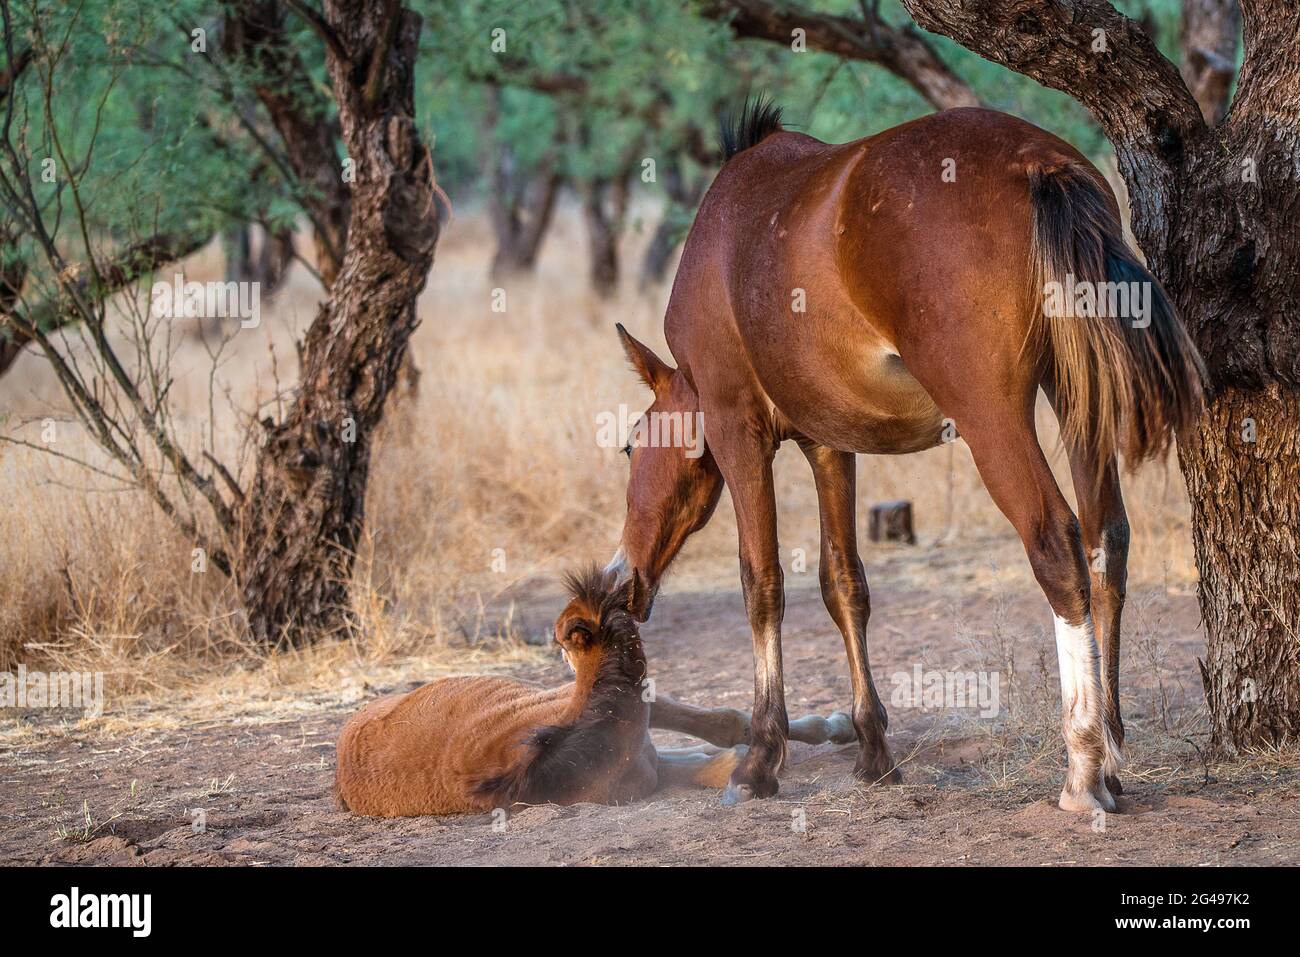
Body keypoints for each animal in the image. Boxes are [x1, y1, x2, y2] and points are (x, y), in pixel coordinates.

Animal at [603, 100, 1201, 811]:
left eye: (631, 445)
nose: (620, 583)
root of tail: (1038, 163)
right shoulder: (828, 443)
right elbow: (844, 585)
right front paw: (872, 748)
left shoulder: (736, 432)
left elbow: (761, 582)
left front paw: (760, 758)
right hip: (1076, 396)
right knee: (1106, 543)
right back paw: (1109, 754)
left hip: (992, 419)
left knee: (1057, 544)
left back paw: (1082, 768)